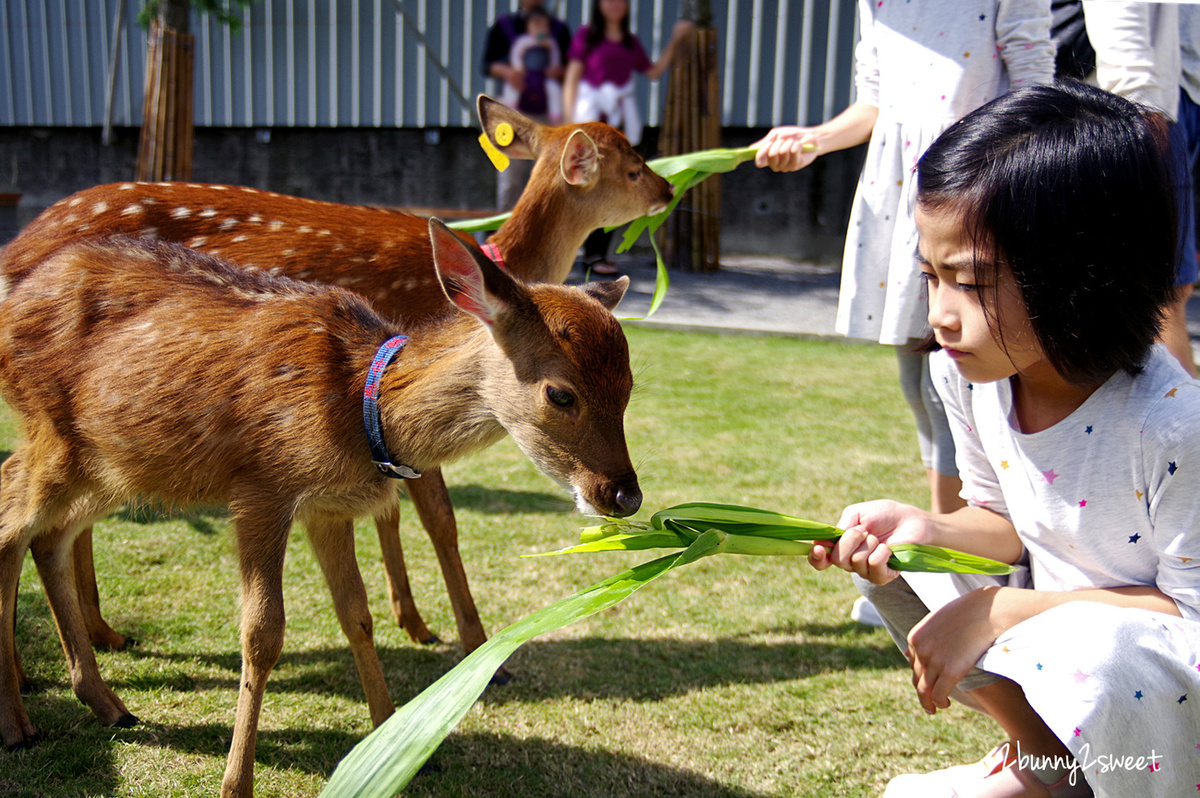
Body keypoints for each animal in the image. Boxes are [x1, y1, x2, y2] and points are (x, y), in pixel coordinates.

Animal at [0, 93, 672, 667]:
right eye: (635, 165)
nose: (669, 188)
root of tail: (18, 248)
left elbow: (387, 513)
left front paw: (415, 621)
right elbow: (439, 520)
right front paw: (475, 646)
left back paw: (102, 631)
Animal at [0, 219, 643, 796]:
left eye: (630, 387)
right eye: (560, 393)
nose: (625, 493)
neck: (363, 411)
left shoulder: (328, 509)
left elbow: (357, 616)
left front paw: (390, 745)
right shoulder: (261, 489)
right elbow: (262, 634)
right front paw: (236, 783)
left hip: (115, 463)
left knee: (48, 536)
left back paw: (106, 704)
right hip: (52, 431)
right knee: (12, 522)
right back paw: (18, 723)